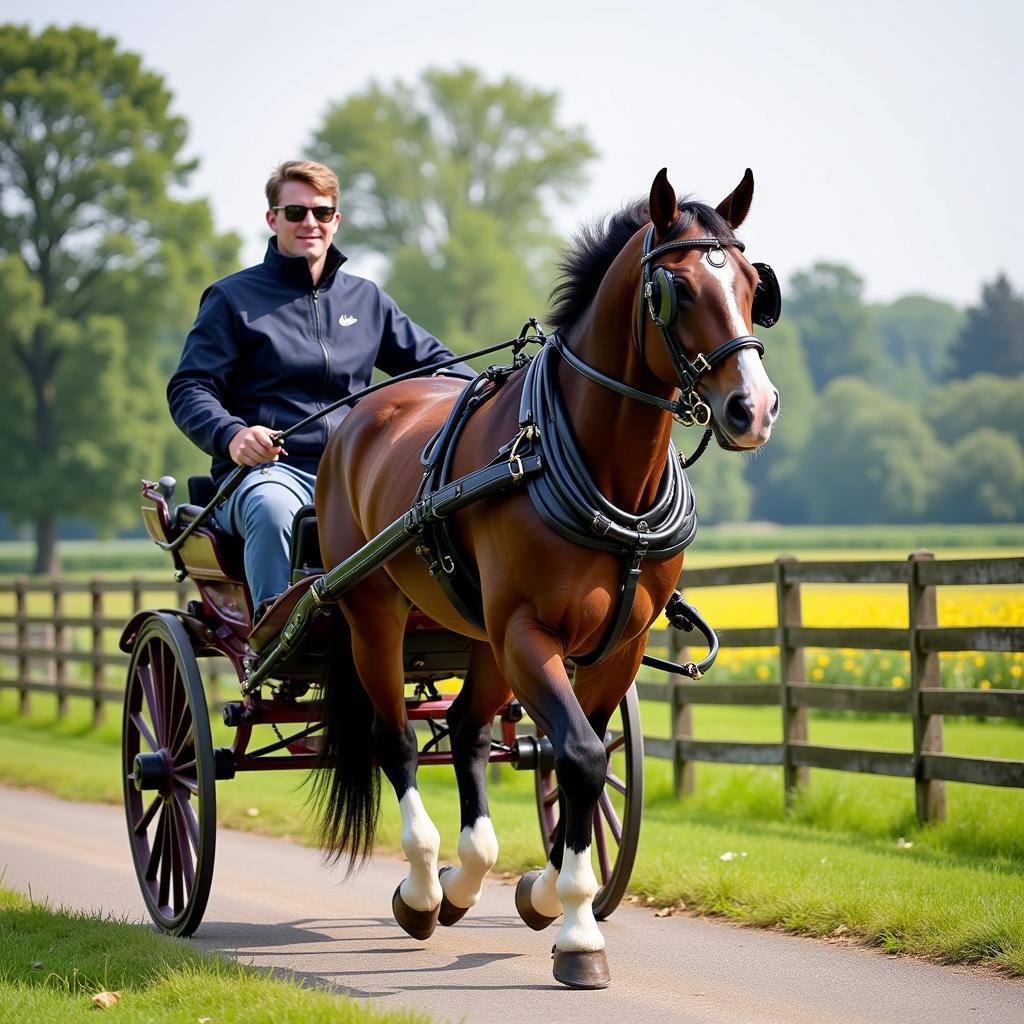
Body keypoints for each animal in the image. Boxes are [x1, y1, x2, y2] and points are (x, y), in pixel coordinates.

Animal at [309, 169, 774, 991]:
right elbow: (580, 754)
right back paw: (423, 887)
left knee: (466, 730)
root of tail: (360, 416)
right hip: (374, 615)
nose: (754, 408)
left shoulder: (616, 645)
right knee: (398, 740)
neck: (599, 469)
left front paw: (550, 894)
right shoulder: (530, 632)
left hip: (482, 636)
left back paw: (468, 878)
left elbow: (579, 758)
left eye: (755, 285)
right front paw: (579, 931)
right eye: (677, 289)